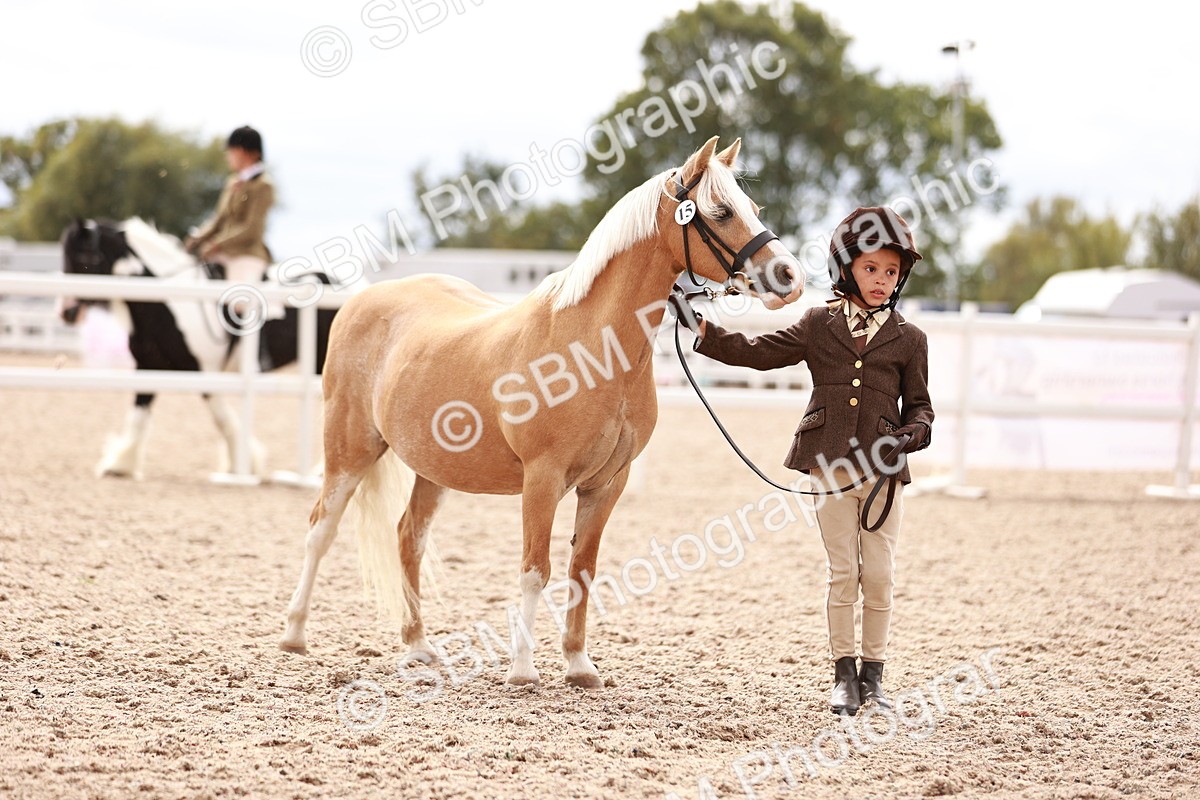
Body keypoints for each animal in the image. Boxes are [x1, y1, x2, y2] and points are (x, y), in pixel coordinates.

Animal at [59, 217, 340, 479]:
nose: (66, 313)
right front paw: (119, 465)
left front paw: (243, 464)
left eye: (85, 257)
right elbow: (138, 416)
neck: (172, 302)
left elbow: (222, 419)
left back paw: (319, 472)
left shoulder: (205, 371)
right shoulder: (149, 366)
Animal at [279, 136, 805, 688]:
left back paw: (419, 647)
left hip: (433, 469)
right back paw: (294, 634)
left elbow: (582, 571)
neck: (590, 349)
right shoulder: (543, 478)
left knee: (408, 538)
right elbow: (537, 569)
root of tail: (361, 300)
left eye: (754, 209)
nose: (790, 276)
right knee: (321, 529)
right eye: (721, 211)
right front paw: (523, 669)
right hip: (349, 450)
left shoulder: (607, 483)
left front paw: (579, 664)